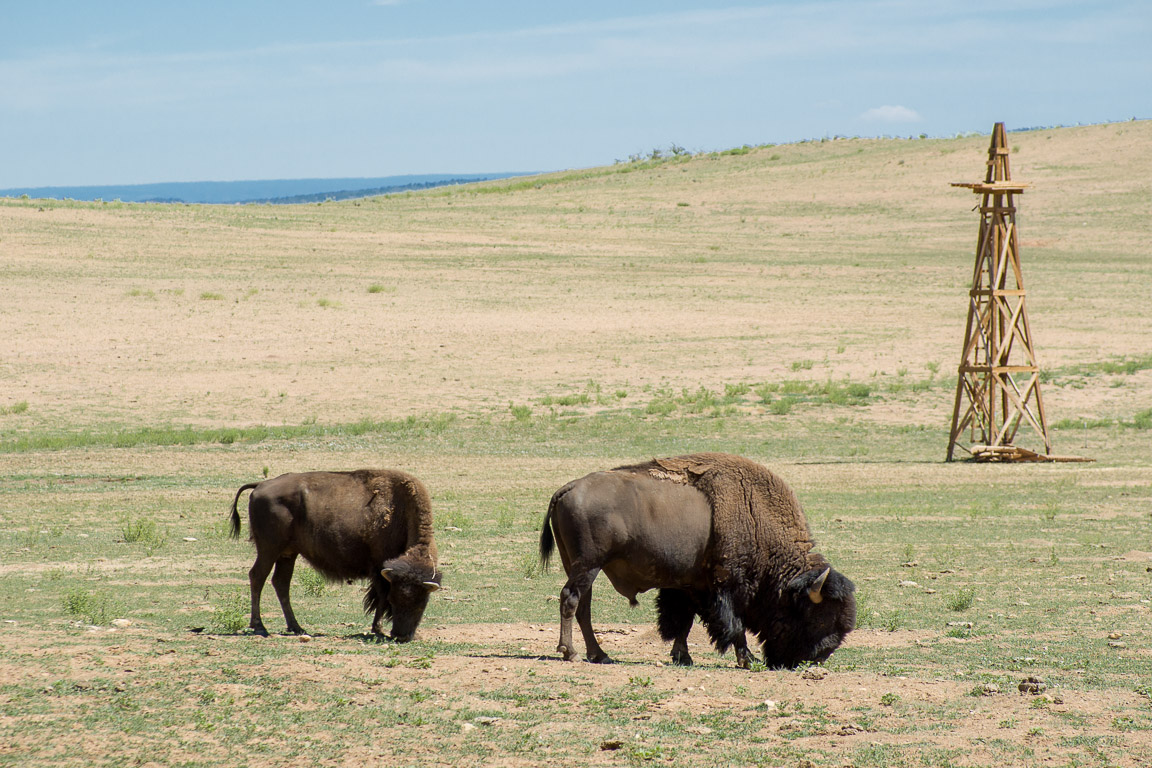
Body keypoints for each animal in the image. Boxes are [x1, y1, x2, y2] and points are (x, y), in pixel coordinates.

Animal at [229, 469, 441, 641]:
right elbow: (380, 597)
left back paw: (296, 627)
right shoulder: (380, 568)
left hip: (287, 554)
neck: (400, 509)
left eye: (421, 603)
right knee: (258, 576)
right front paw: (378, 629)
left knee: (281, 583)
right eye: (394, 600)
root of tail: (260, 485)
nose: (400, 636)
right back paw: (260, 627)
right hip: (269, 550)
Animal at [539, 453, 855, 668]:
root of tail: (568, 488)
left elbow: (684, 621)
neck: (755, 516)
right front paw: (747, 659)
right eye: (819, 617)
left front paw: (683, 657)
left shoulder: (688, 586)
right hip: (588, 565)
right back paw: (571, 653)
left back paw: (599, 655)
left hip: (581, 567)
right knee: (570, 599)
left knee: (583, 607)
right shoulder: (726, 586)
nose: (815, 659)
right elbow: (734, 624)